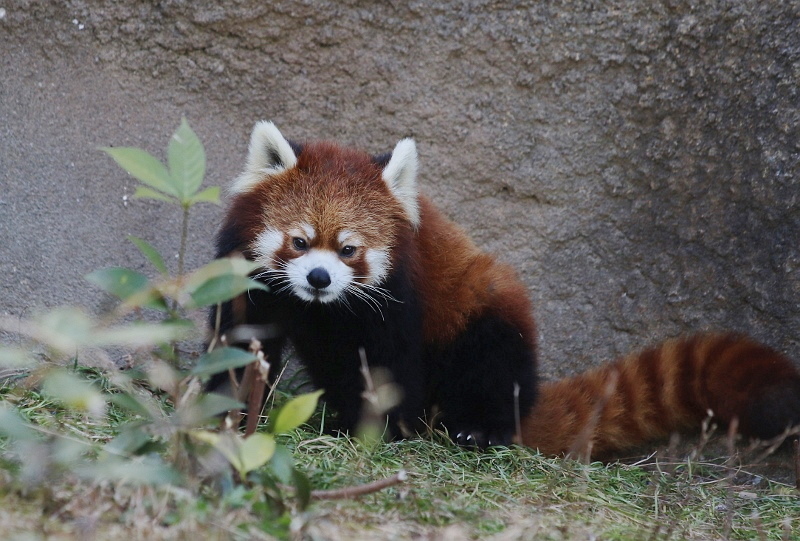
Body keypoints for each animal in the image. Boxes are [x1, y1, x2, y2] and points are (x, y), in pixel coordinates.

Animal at [211, 121, 800, 456]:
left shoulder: (398, 299)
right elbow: (238, 344)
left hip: (486, 311)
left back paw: (479, 429)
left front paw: (375, 430)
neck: (320, 309)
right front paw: (227, 410)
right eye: (300, 241)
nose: (319, 278)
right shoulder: (249, 279)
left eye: (349, 249)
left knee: (493, 358)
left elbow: (386, 366)